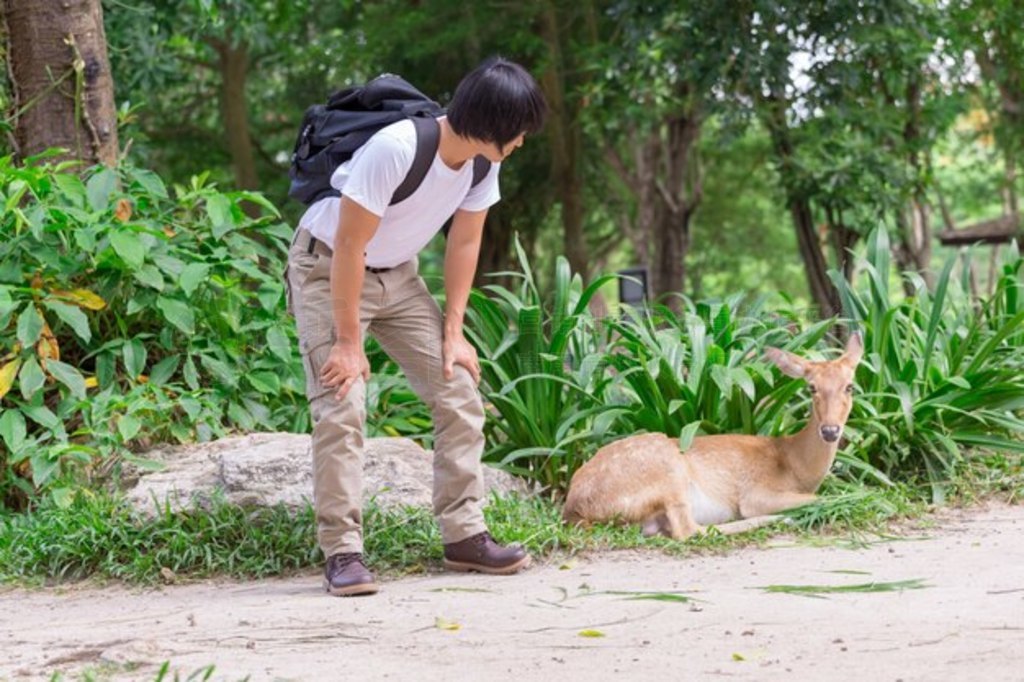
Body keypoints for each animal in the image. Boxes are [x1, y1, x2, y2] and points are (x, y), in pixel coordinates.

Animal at [565, 333, 860, 536]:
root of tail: (574, 507)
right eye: (811, 387)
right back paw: (775, 520)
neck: (795, 464)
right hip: (668, 472)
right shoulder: (756, 491)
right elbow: (824, 497)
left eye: (849, 386)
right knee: (688, 530)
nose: (830, 430)